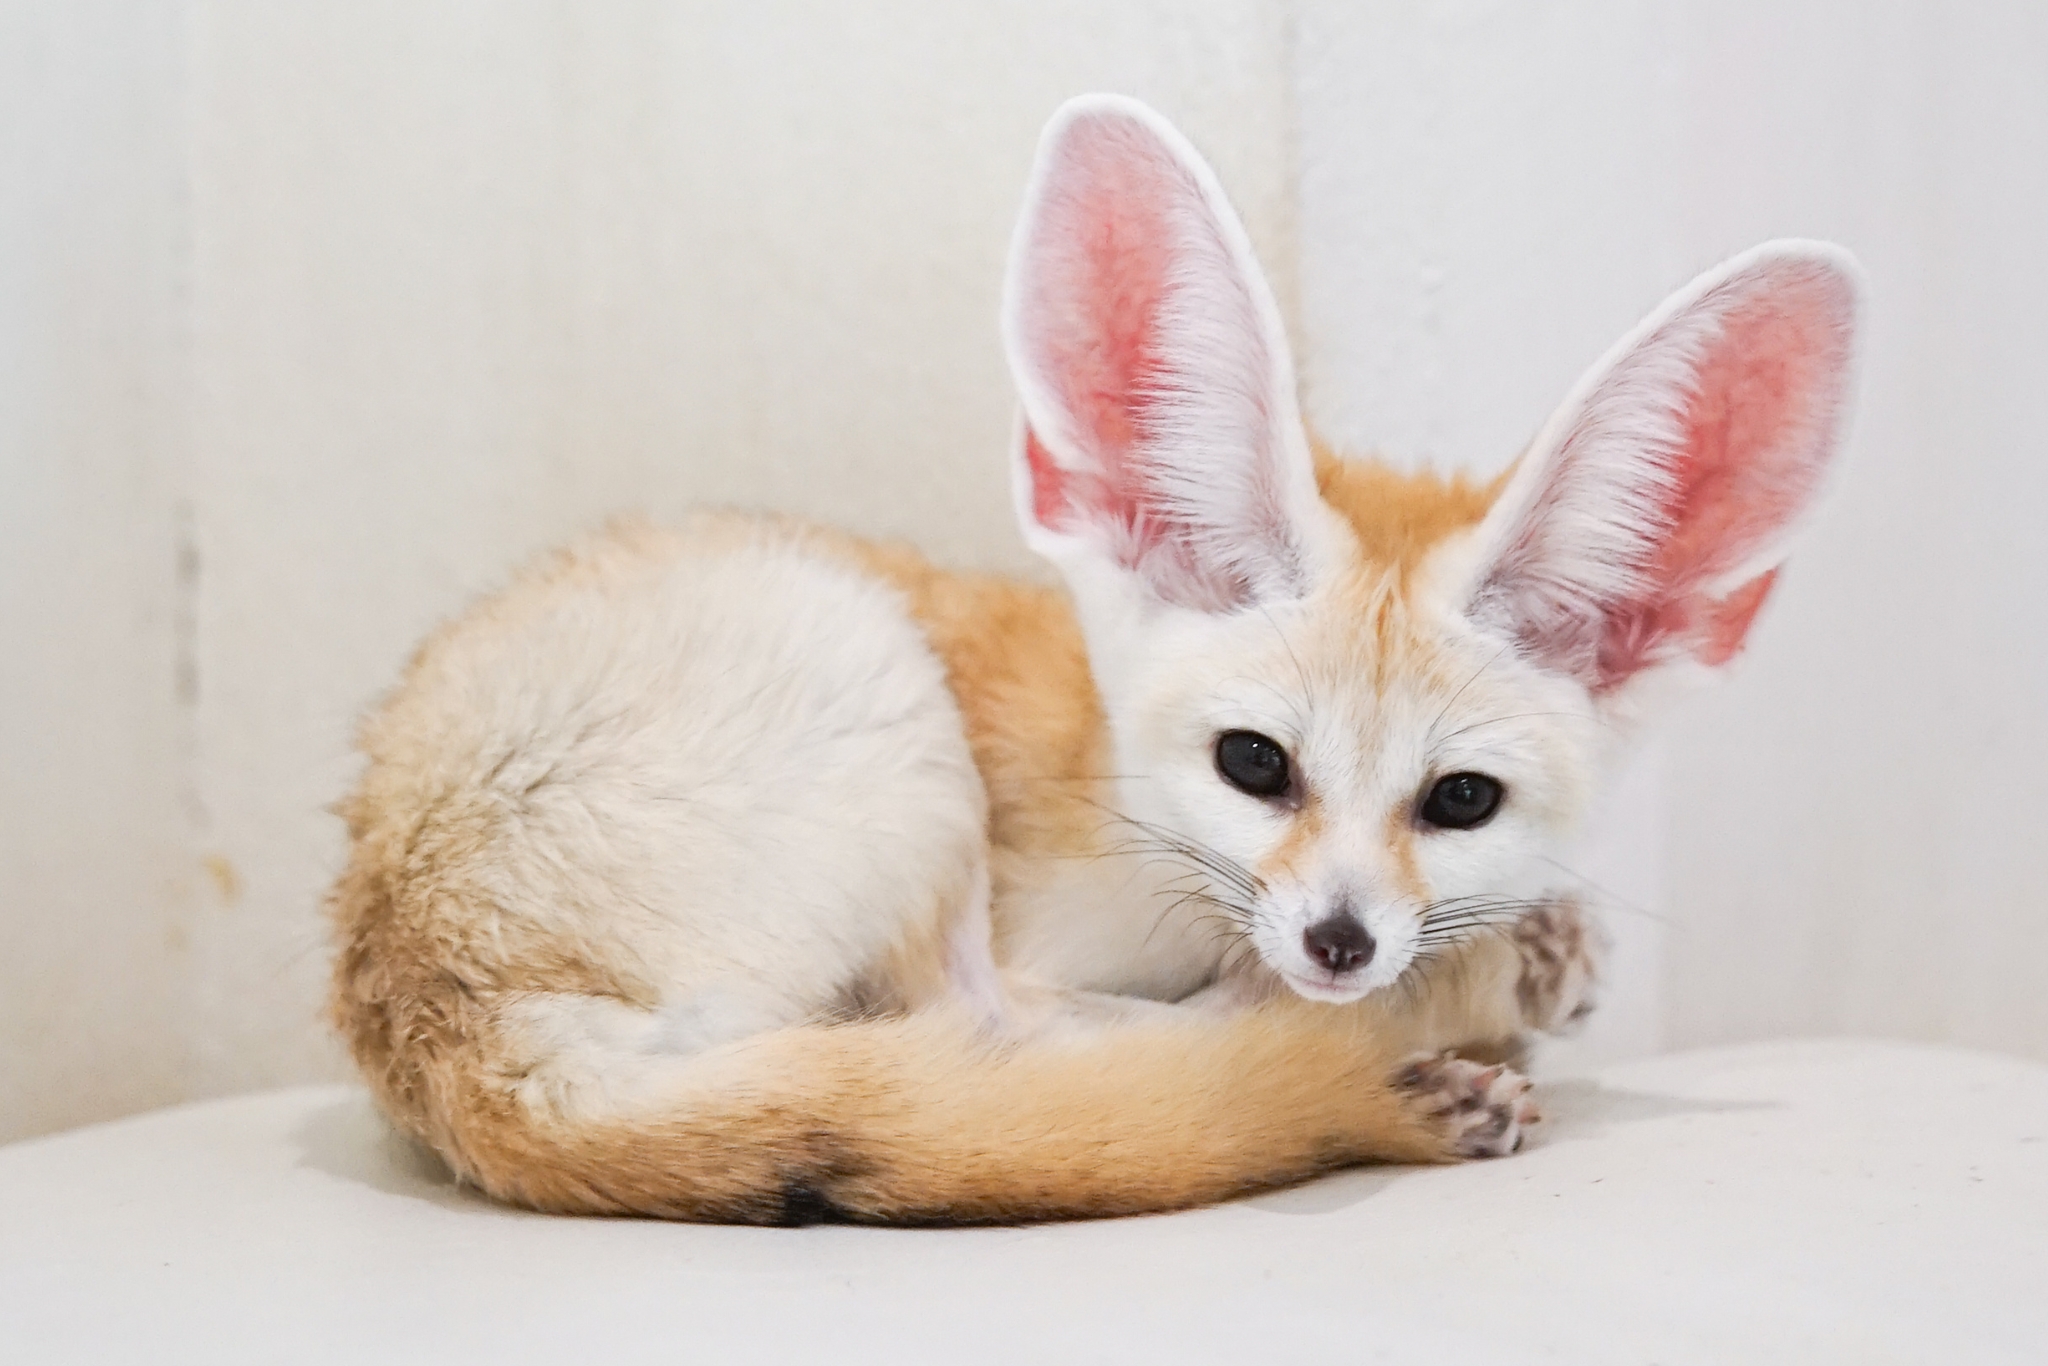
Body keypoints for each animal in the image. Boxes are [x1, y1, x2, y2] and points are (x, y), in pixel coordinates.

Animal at [327, 94, 1862, 1225]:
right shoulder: (1051, 926)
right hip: (883, 709)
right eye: (1253, 764)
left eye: (1460, 800)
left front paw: (1539, 945)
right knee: (980, 1025)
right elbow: (1088, 1020)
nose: (1343, 943)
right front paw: (1474, 993)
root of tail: (431, 1013)